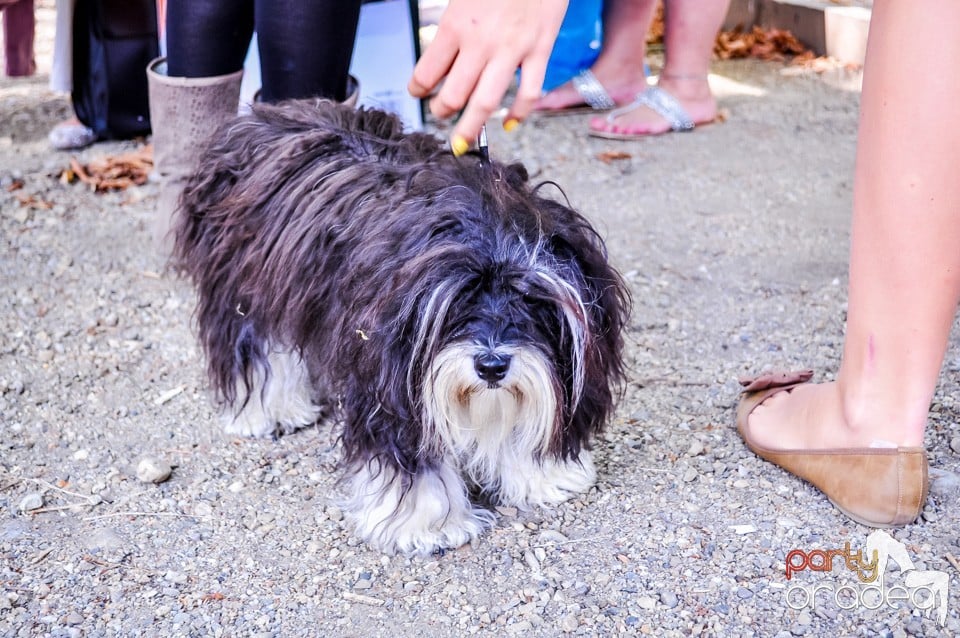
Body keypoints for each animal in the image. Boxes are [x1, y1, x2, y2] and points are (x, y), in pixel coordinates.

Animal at [172, 100, 632, 556]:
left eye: (531, 301)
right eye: (459, 303)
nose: (491, 366)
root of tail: (267, 114)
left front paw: (542, 474)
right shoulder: (388, 383)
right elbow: (412, 456)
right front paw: (427, 524)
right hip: (243, 290)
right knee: (254, 349)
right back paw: (269, 411)